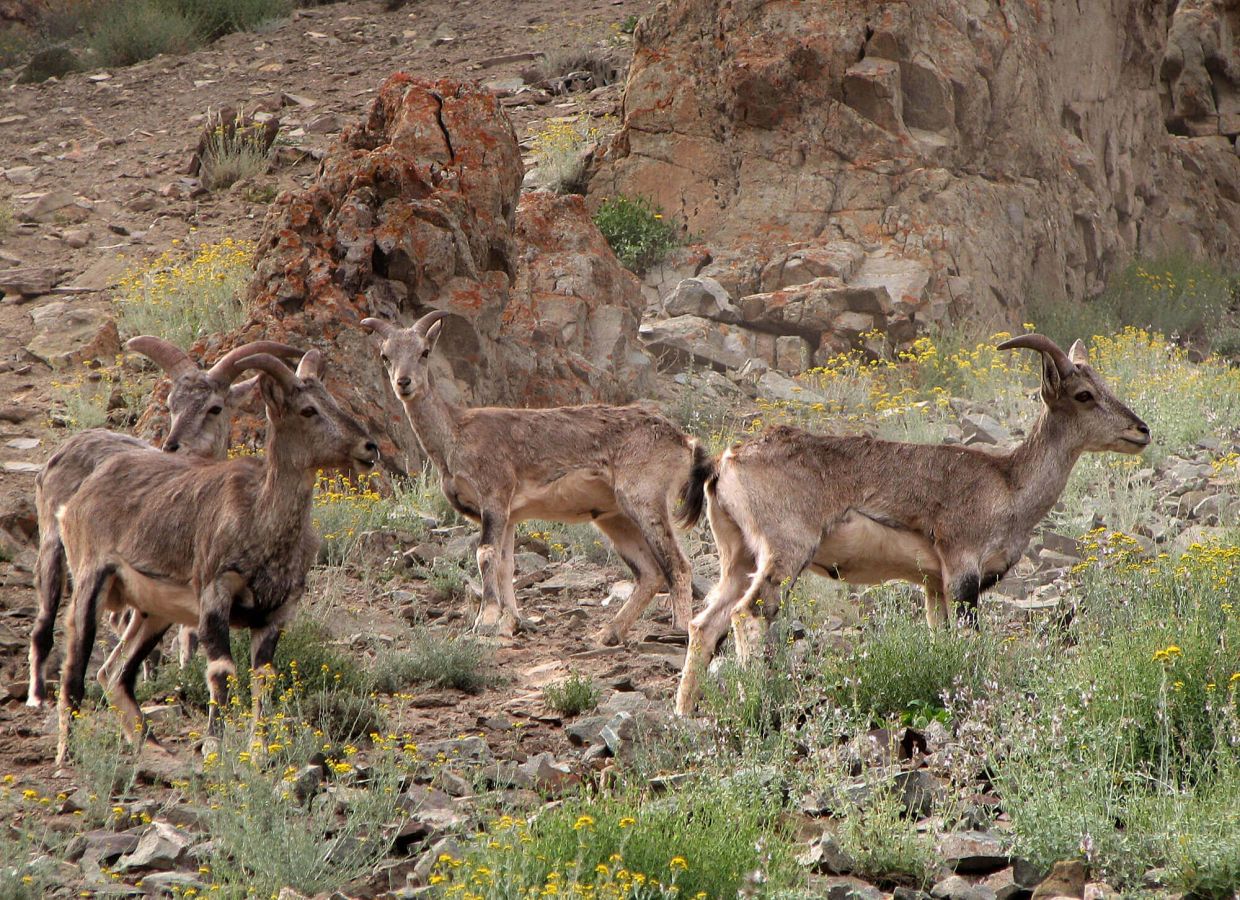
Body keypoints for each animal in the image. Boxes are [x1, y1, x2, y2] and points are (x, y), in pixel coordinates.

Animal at [57, 352, 376, 763]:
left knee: (114, 673)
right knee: (75, 669)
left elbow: (263, 678)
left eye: (333, 402)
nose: (369, 447)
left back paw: (150, 745)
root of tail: (82, 495)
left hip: (154, 611)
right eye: (308, 410)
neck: (261, 522)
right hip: (91, 581)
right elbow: (221, 671)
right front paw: (213, 747)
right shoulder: (215, 595)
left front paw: (259, 752)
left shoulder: (276, 613)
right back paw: (66, 755)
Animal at [362, 313, 709, 644]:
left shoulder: (495, 498)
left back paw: (677, 630)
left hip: (645, 499)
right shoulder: (509, 516)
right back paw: (607, 633)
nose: (403, 383)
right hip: (614, 516)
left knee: (677, 564)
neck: (455, 436)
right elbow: (505, 564)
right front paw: (509, 623)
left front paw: (485, 620)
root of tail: (684, 442)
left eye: (424, 351)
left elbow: (485, 554)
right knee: (649, 572)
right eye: (385, 355)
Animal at [674, 334, 1145, 714]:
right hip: (784, 550)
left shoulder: (933, 584)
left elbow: (940, 638)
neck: (1008, 484)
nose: (1141, 431)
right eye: (1084, 394)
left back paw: (685, 712)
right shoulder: (962, 570)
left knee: (705, 624)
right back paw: (753, 701)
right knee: (748, 614)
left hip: (737, 558)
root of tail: (723, 463)